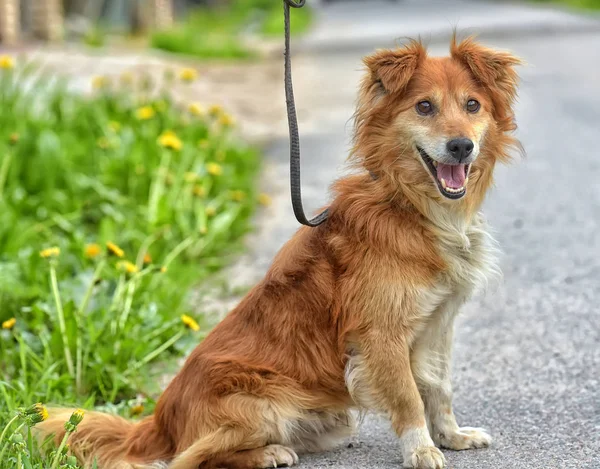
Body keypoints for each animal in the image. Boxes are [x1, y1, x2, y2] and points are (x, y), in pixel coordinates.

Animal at [39, 37, 524, 468]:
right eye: (424, 107)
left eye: (472, 106)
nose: (461, 145)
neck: (410, 205)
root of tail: (159, 421)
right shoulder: (380, 334)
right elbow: (407, 397)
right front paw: (421, 451)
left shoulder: (437, 323)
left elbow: (439, 387)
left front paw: (452, 437)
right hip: (266, 402)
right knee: (191, 458)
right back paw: (268, 453)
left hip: (330, 420)